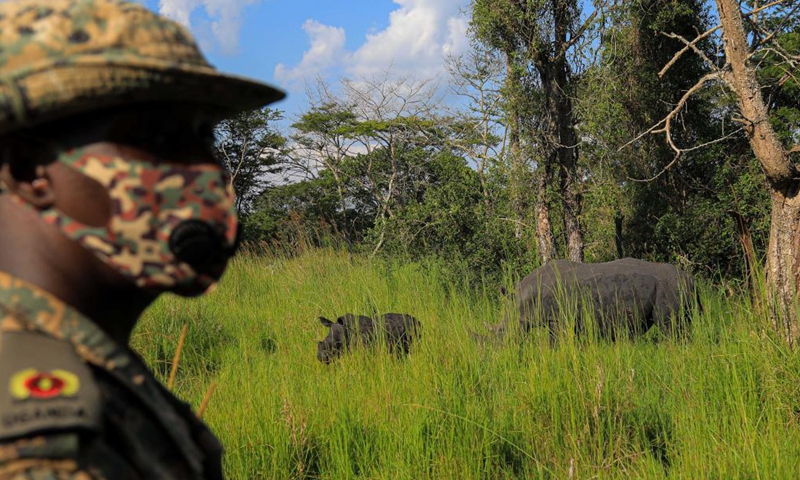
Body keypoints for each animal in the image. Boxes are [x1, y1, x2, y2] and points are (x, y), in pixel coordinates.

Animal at [485, 258, 697, 342]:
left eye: (502, 331)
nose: (500, 349)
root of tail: (689, 278)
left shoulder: (558, 319)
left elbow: (555, 342)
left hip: (668, 288)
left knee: (670, 327)